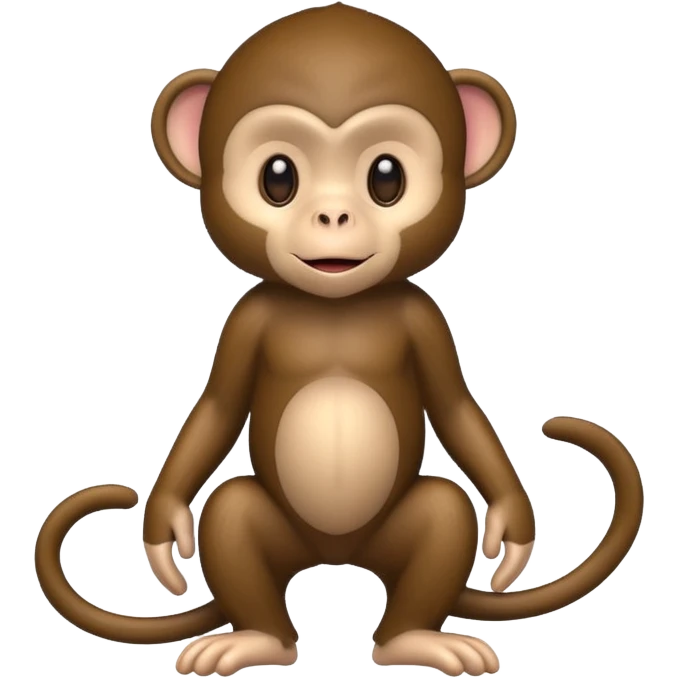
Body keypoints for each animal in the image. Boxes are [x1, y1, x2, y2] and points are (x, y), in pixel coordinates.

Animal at [33, 3, 645, 677]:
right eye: (278, 178)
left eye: (386, 177)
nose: (332, 215)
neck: (336, 304)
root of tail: (336, 554)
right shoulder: (245, 319)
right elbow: (217, 407)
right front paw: (164, 528)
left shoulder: (425, 318)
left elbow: (456, 406)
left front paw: (512, 528)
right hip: (273, 534)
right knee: (231, 516)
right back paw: (258, 641)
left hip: (401, 534)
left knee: (444, 516)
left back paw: (414, 640)